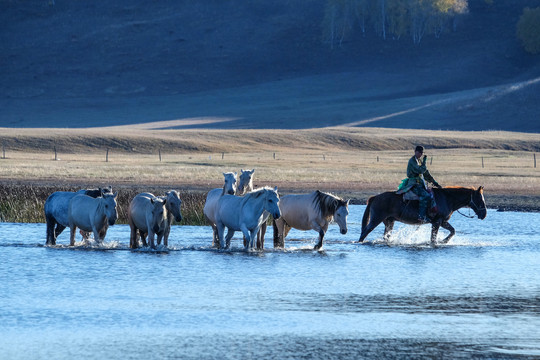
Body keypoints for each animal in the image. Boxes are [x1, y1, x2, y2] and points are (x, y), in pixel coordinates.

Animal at [360, 186, 488, 245]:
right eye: (479, 198)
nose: (484, 214)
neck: (447, 199)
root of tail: (375, 197)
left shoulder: (442, 221)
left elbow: (453, 231)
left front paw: (444, 241)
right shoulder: (437, 222)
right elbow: (433, 238)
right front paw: (440, 242)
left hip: (389, 221)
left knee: (386, 236)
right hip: (376, 219)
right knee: (365, 232)